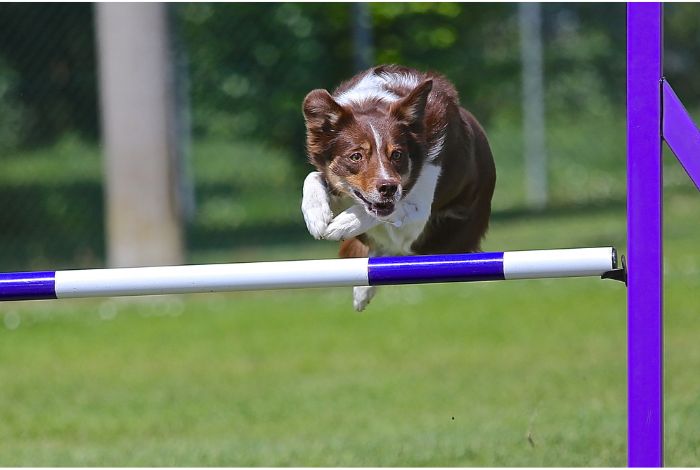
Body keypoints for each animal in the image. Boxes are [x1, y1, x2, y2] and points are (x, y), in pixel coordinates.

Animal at [300, 64, 498, 310]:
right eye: (356, 156)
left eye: (397, 154)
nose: (388, 188)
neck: (371, 101)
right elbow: (313, 177)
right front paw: (316, 215)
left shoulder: (416, 219)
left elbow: (388, 211)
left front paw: (343, 224)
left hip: (445, 242)